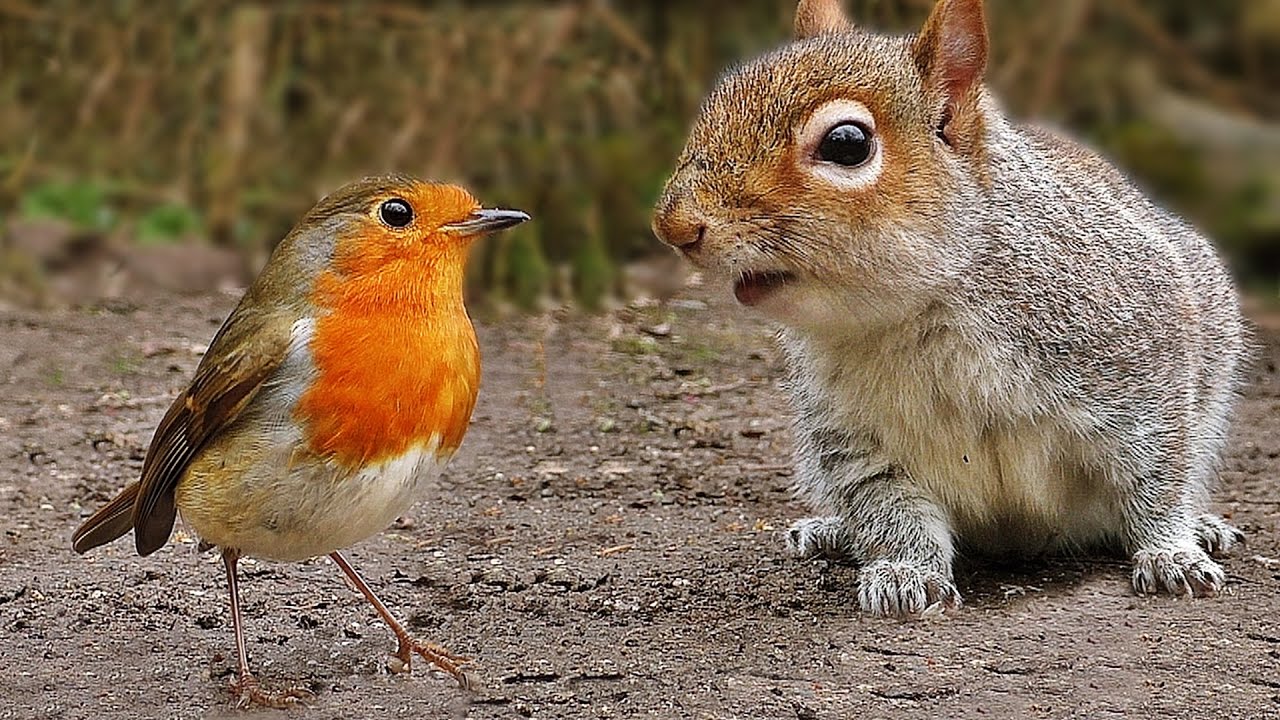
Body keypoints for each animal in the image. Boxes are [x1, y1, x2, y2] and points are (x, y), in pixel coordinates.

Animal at [655, 0, 1244, 614]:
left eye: (846, 144)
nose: (674, 226)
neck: (918, 312)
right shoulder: (852, 435)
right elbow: (888, 508)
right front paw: (904, 573)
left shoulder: (1136, 361)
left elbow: (1157, 475)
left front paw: (1170, 552)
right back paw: (832, 530)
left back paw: (1202, 527)